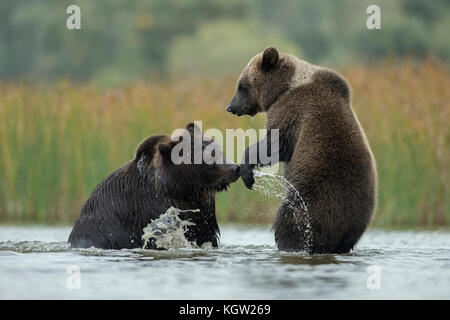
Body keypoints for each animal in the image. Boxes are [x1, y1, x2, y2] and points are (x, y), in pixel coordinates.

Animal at [227, 46, 378, 254]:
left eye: (242, 86)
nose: (231, 107)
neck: (283, 88)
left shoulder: (290, 112)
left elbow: (275, 145)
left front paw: (247, 173)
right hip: (358, 218)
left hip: (311, 199)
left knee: (289, 222)